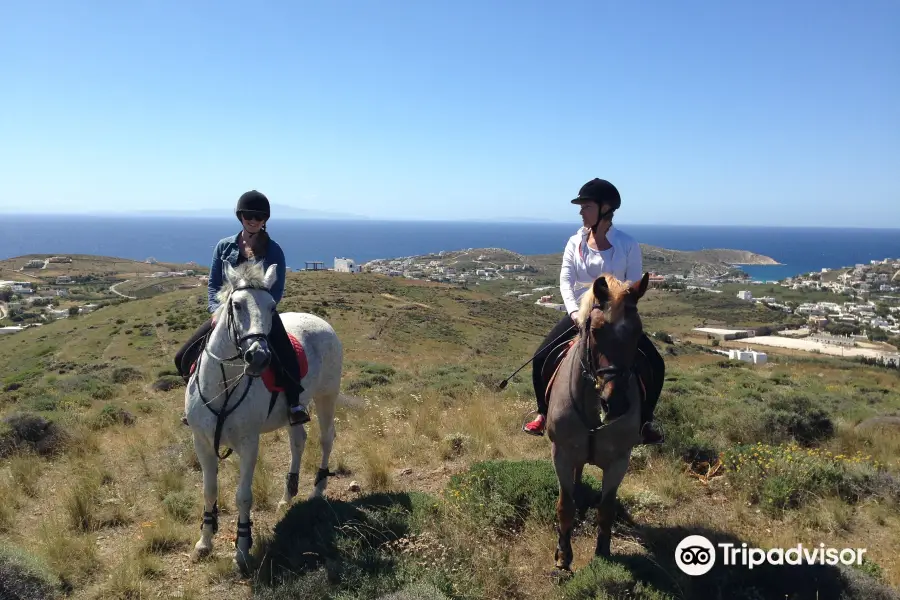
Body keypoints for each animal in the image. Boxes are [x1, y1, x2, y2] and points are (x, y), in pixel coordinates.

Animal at [183, 260, 342, 576]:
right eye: (236, 305)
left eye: (271, 307)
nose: (258, 356)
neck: (222, 386)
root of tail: (320, 321)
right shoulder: (201, 442)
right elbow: (209, 490)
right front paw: (204, 541)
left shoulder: (249, 443)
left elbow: (243, 496)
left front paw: (243, 550)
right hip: (297, 408)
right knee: (298, 441)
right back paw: (288, 494)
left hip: (327, 397)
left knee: (326, 439)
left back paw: (318, 489)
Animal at [544, 272, 652, 572]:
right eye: (595, 330)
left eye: (638, 332)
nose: (616, 404)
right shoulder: (561, 454)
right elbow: (565, 505)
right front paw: (563, 555)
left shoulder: (619, 461)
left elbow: (606, 508)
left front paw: (603, 552)